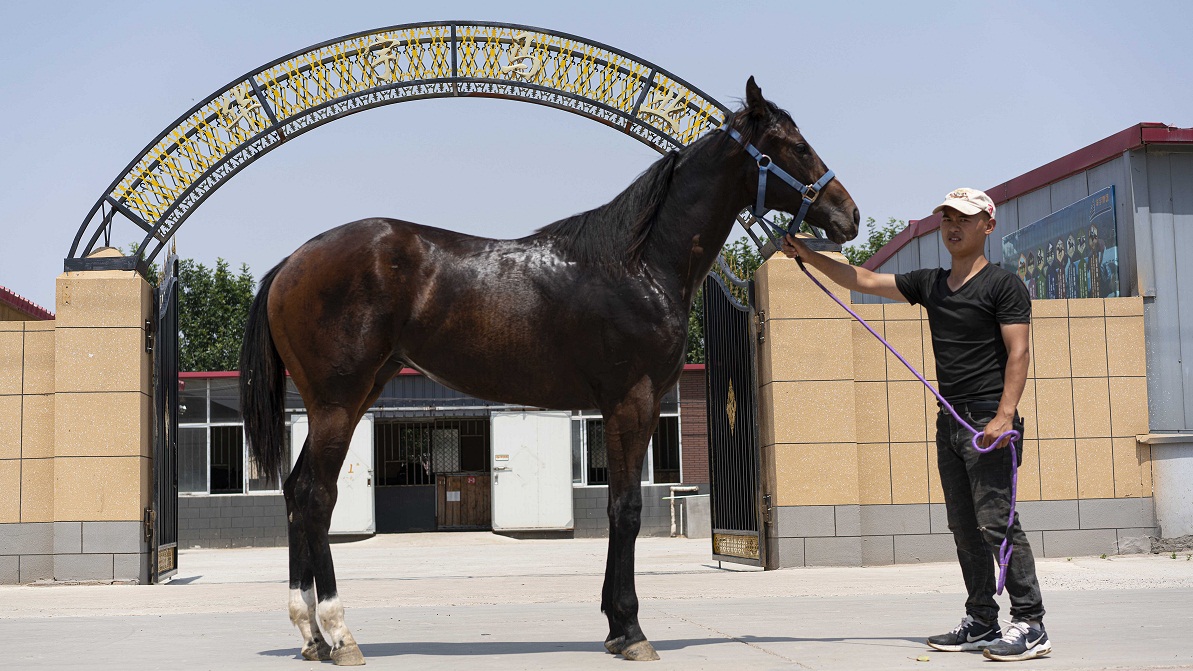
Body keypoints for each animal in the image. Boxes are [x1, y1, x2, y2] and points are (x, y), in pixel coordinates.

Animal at [242, 78, 858, 663]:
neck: (639, 264)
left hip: (348, 399)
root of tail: (291, 262)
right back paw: (339, 635)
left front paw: (613, 628)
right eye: (795, 146)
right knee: (316, 496)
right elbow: (626, 508)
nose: (848, 215)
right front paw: (632, 630)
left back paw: (311, 636)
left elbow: (615, 506)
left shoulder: (623, 405)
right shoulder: (632, 401)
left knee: (296, 491)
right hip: (338, 404)